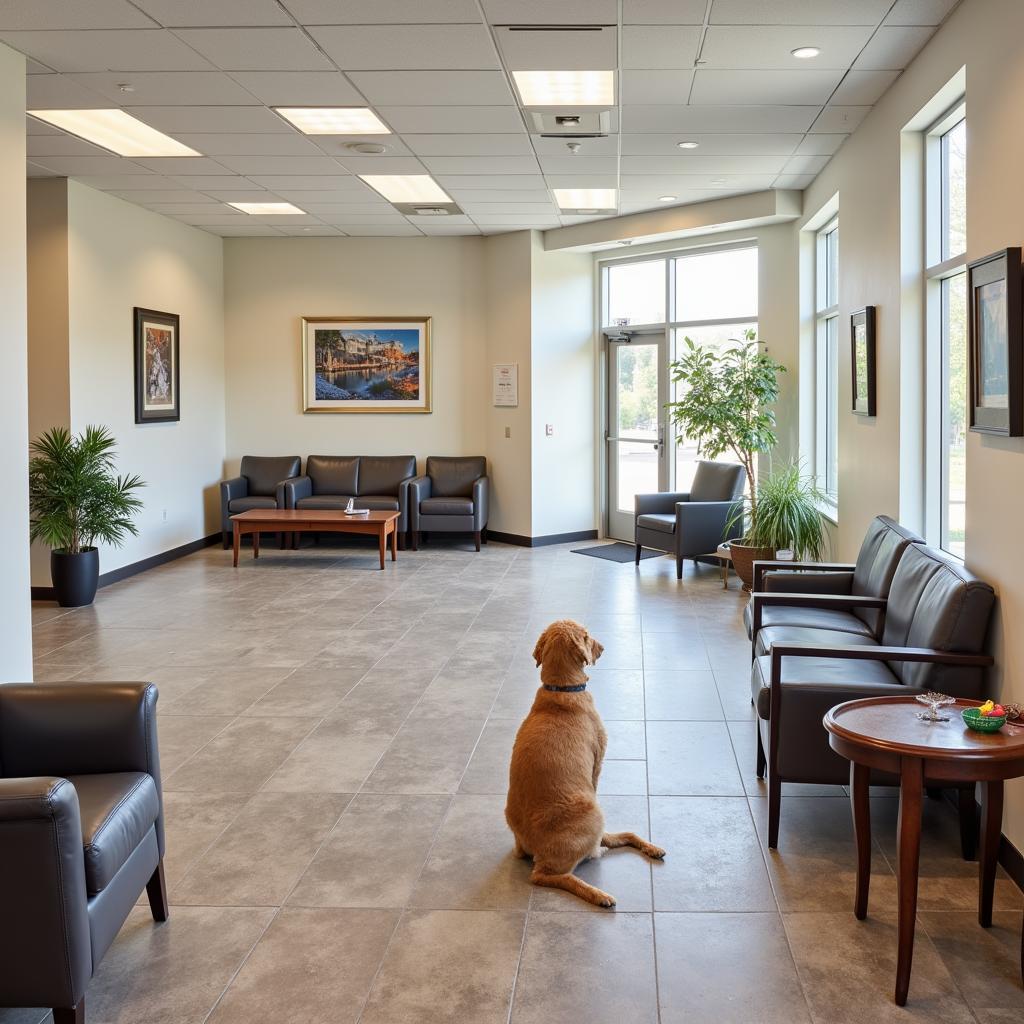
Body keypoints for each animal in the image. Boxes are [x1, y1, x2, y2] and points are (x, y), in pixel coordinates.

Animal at [503, 618, 663, 909]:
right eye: (587, 637)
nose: (603, 647)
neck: (561, 689)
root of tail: (531, 845)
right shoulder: (598, 761)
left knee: (622, 836)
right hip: (593, 814)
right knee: (545, 875)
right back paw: (599, 892)